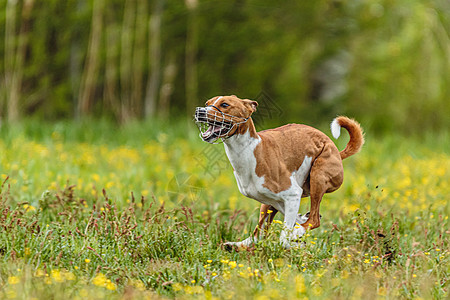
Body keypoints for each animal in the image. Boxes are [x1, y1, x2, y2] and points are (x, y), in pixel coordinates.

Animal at [195, 95, 364, 248]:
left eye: (224, 104)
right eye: (207, 103)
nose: (199, 111)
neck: (248, 151)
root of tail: (337, 151)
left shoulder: (292, 194)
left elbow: (285, 235)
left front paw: (292, 240)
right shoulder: (278, 200)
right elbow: (273, 228)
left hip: (318, 175)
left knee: (314, 219)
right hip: (268, 204)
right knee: (260, 233)